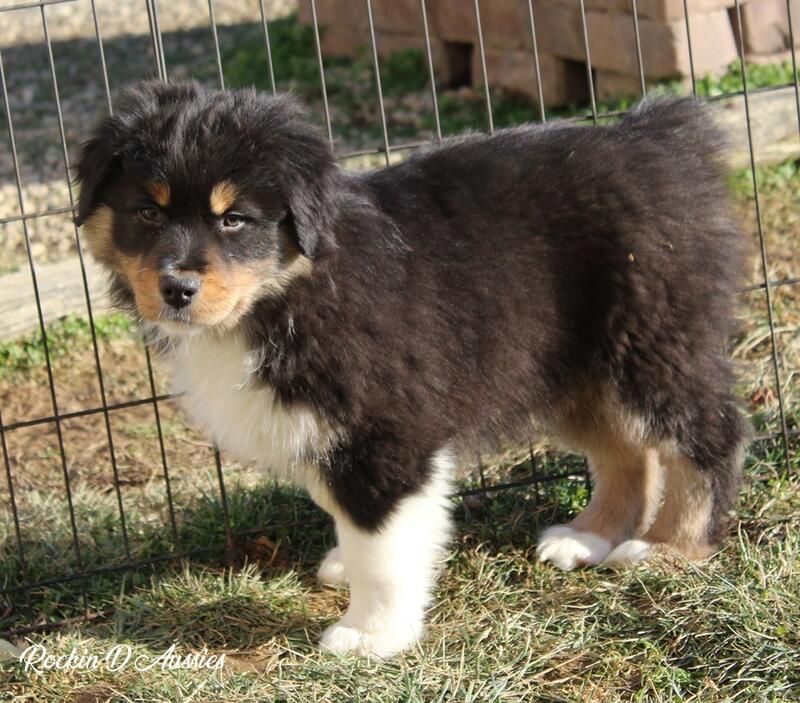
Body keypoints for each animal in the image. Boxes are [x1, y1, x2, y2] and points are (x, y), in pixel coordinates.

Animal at [75, 81, 750, 657]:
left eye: (233, 218)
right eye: (148, 213)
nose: (176, 289)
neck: (288, 291)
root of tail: (654, 136)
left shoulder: (382, 428)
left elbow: (380, 541)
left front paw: (371, 635)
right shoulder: (329, 428)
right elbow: (348, 514)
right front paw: (351, 571)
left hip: (651, 339)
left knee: (708, 434)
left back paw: (669, 548)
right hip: (567, 365)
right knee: (626, 450)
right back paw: (588, 537)